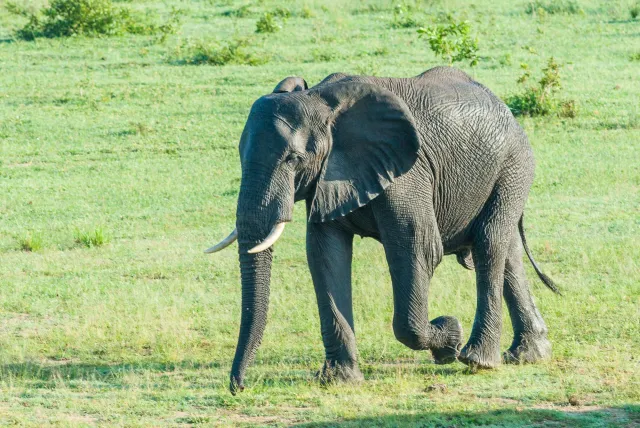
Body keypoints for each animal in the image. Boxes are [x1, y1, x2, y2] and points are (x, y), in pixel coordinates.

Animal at [208, 67, 556, 394]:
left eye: (294, 158)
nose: (239, 386)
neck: (320, 100)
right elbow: (325, 254)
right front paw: (339, 381)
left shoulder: (408, 173)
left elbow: (419, 246)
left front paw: (449, 336)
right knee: (508, 251)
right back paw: (527, 355)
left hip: (513, 166)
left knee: (489, 243)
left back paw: (477, 360)